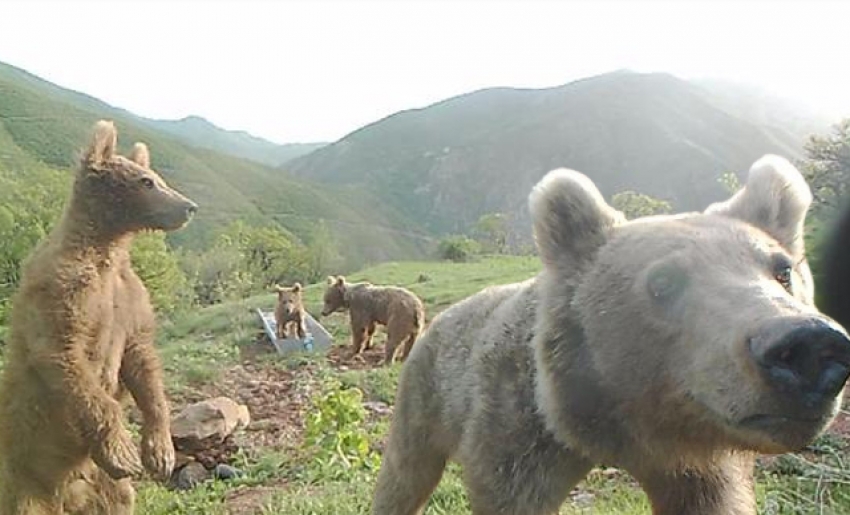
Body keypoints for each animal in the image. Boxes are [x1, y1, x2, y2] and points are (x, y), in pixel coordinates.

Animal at [0, 122, 197, 515]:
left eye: (157, 177)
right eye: (145, 181)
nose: (189, 207)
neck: (104, 248)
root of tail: (66, 497)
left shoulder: (128, 298)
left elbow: (143, 361)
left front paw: (159, 452)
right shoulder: (62, 291)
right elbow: (65, 355)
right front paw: (122, 452)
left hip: (102, 485)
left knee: (118, 499)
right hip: (22, 478)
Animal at [372, 156, 848, 515]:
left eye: (783, 269)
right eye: (663, 282)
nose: (806, 346)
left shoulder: (697, 457)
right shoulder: (517, 427)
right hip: (425, 395)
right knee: (405, 473)